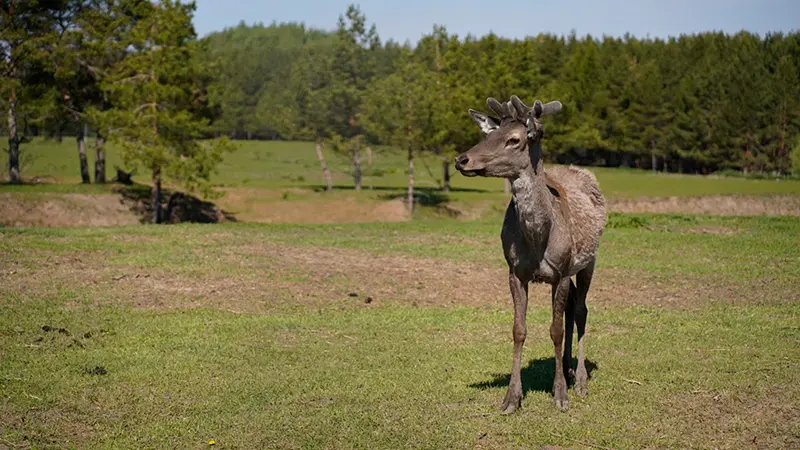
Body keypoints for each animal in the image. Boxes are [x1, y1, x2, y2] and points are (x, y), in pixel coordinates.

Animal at [454, 96, 604, 414]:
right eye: (489, 135)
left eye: (514, 139)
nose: (462, 159)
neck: (539, 238)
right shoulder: (515, 272)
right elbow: (518, 329)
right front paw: (512, 398)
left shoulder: (561, 271)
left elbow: (555, 330)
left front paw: (560, 396)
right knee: (572, 306)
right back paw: (568, 368)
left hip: (589, 260)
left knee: (581, 309)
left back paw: (580, 379)